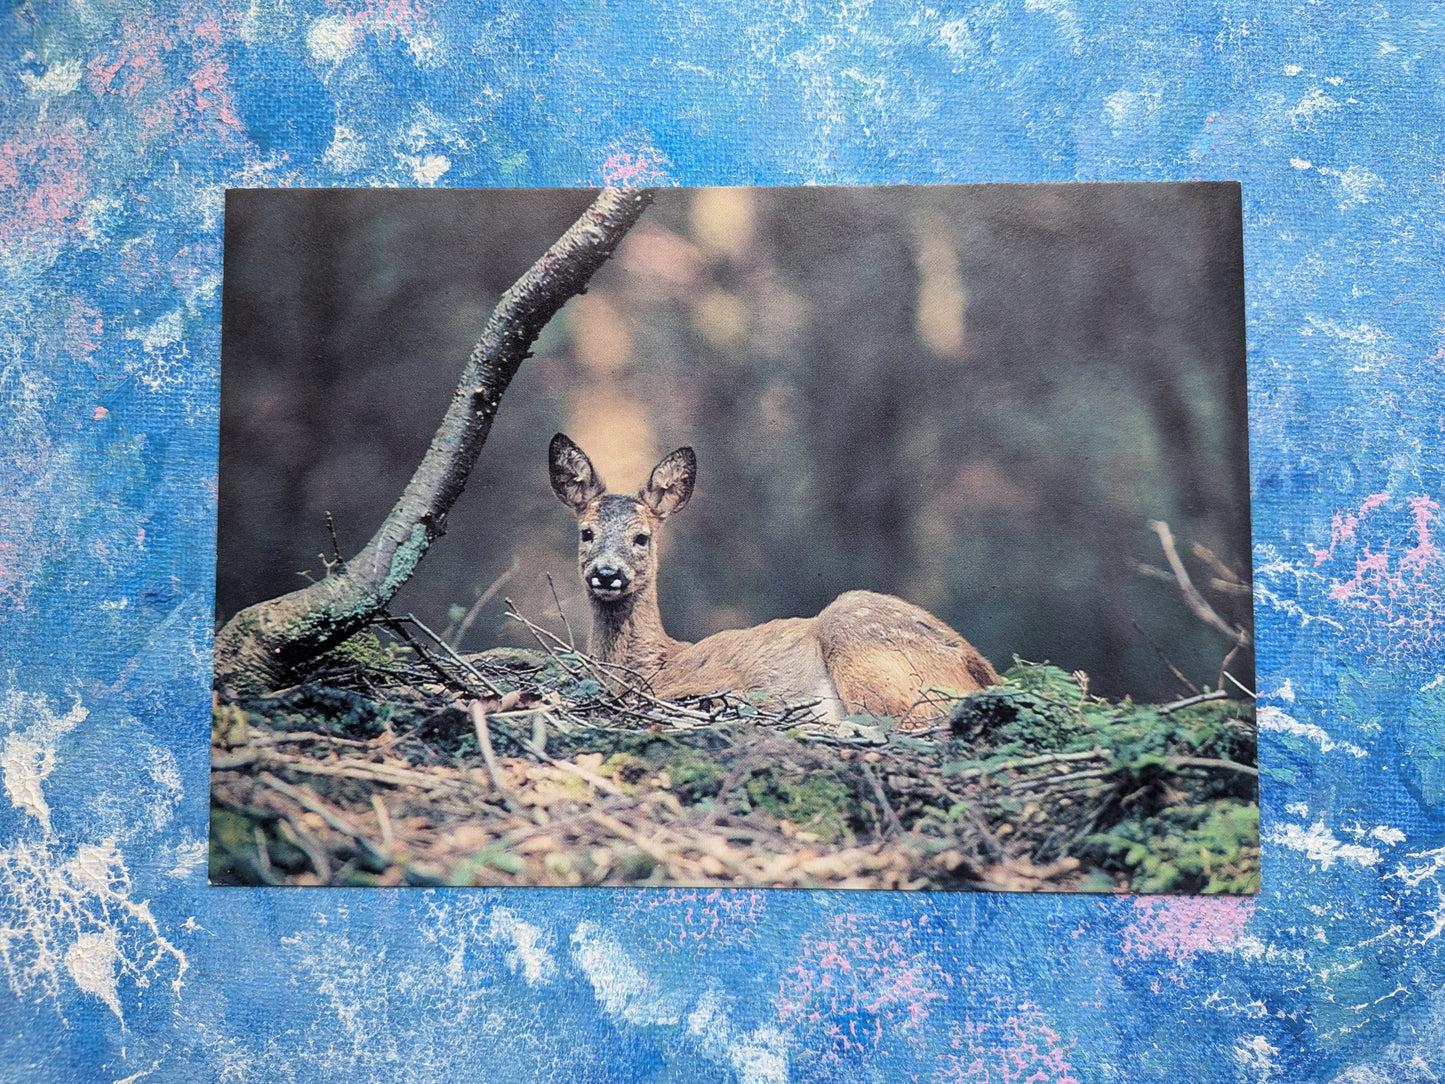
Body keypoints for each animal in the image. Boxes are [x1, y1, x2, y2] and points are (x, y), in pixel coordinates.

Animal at [547, 433, 1000, 724]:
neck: (654, 663)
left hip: (862, 641)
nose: (607, 573)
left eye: (641, 537)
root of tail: (982, 671)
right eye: (586, 533)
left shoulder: (715, 684)